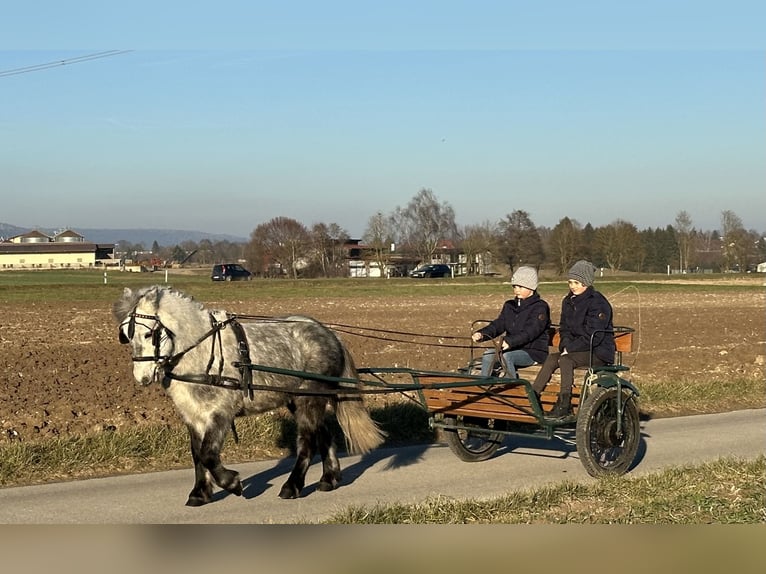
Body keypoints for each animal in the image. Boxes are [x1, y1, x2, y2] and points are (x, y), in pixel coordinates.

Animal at [112, 286, 384, 506]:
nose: (142, 377)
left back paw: (292, 486)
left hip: (309, 397)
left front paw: (232, 483)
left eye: (149, 334)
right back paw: (329, 479)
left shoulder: (220, 413)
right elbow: (197, 455)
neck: (200, 353)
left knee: (308, 441)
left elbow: (208, 454)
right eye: (126, 335)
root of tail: (329, 333)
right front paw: (199, 493)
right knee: (323, 435)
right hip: (297, 399)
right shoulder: (193, 415)